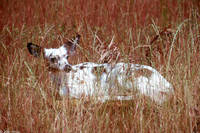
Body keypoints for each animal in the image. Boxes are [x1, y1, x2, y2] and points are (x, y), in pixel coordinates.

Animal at [27, 34, 173, 104]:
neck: (62, 83)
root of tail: (168, 86)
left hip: (125, 77)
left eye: (66, 56)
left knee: (141, 96)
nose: (68, 67)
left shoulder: (85, 89)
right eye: (52, 58)